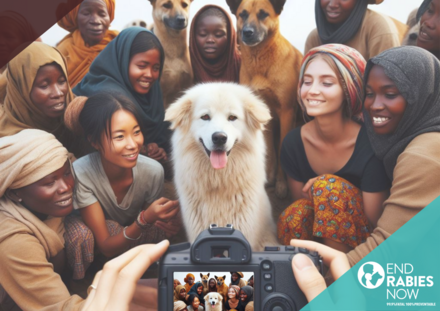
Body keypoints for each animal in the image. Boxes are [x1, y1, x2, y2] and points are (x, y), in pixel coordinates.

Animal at [227, 0, 302, 200]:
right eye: (243, 14)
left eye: (263, 14)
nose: (247, 32)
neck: (259, 61)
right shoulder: (263, 113)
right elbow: (270, 151)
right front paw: (270, 178)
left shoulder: (286, 113)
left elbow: (281, 149)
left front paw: (282, 184)